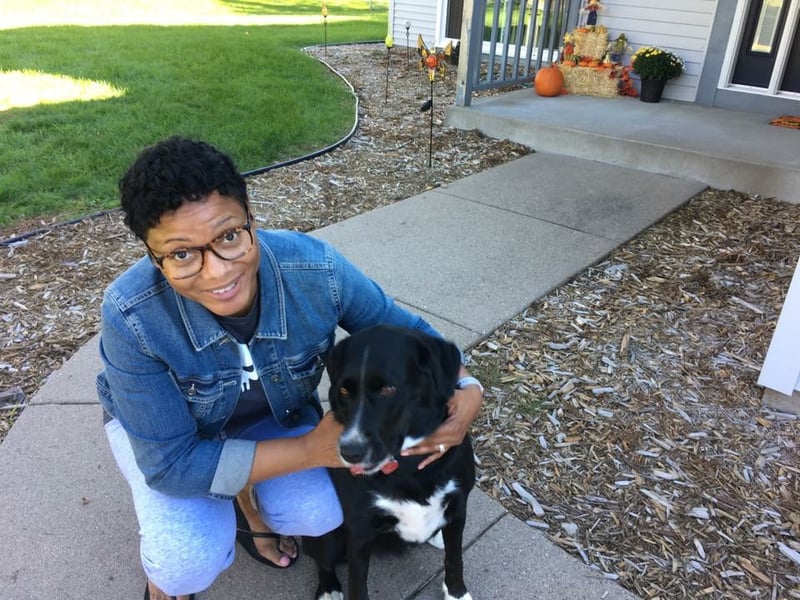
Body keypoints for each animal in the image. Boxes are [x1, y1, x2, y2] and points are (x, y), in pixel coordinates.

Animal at [304, 328, 472, 600]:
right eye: (344, 391)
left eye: (387, 389)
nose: (349, 452)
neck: (409, 468)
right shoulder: (359, 531)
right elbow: (357, 585)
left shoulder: (458, 507)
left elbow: (455, 558)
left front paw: (457, 593)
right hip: (326, 531)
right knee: (323, 559)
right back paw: (328, 589)